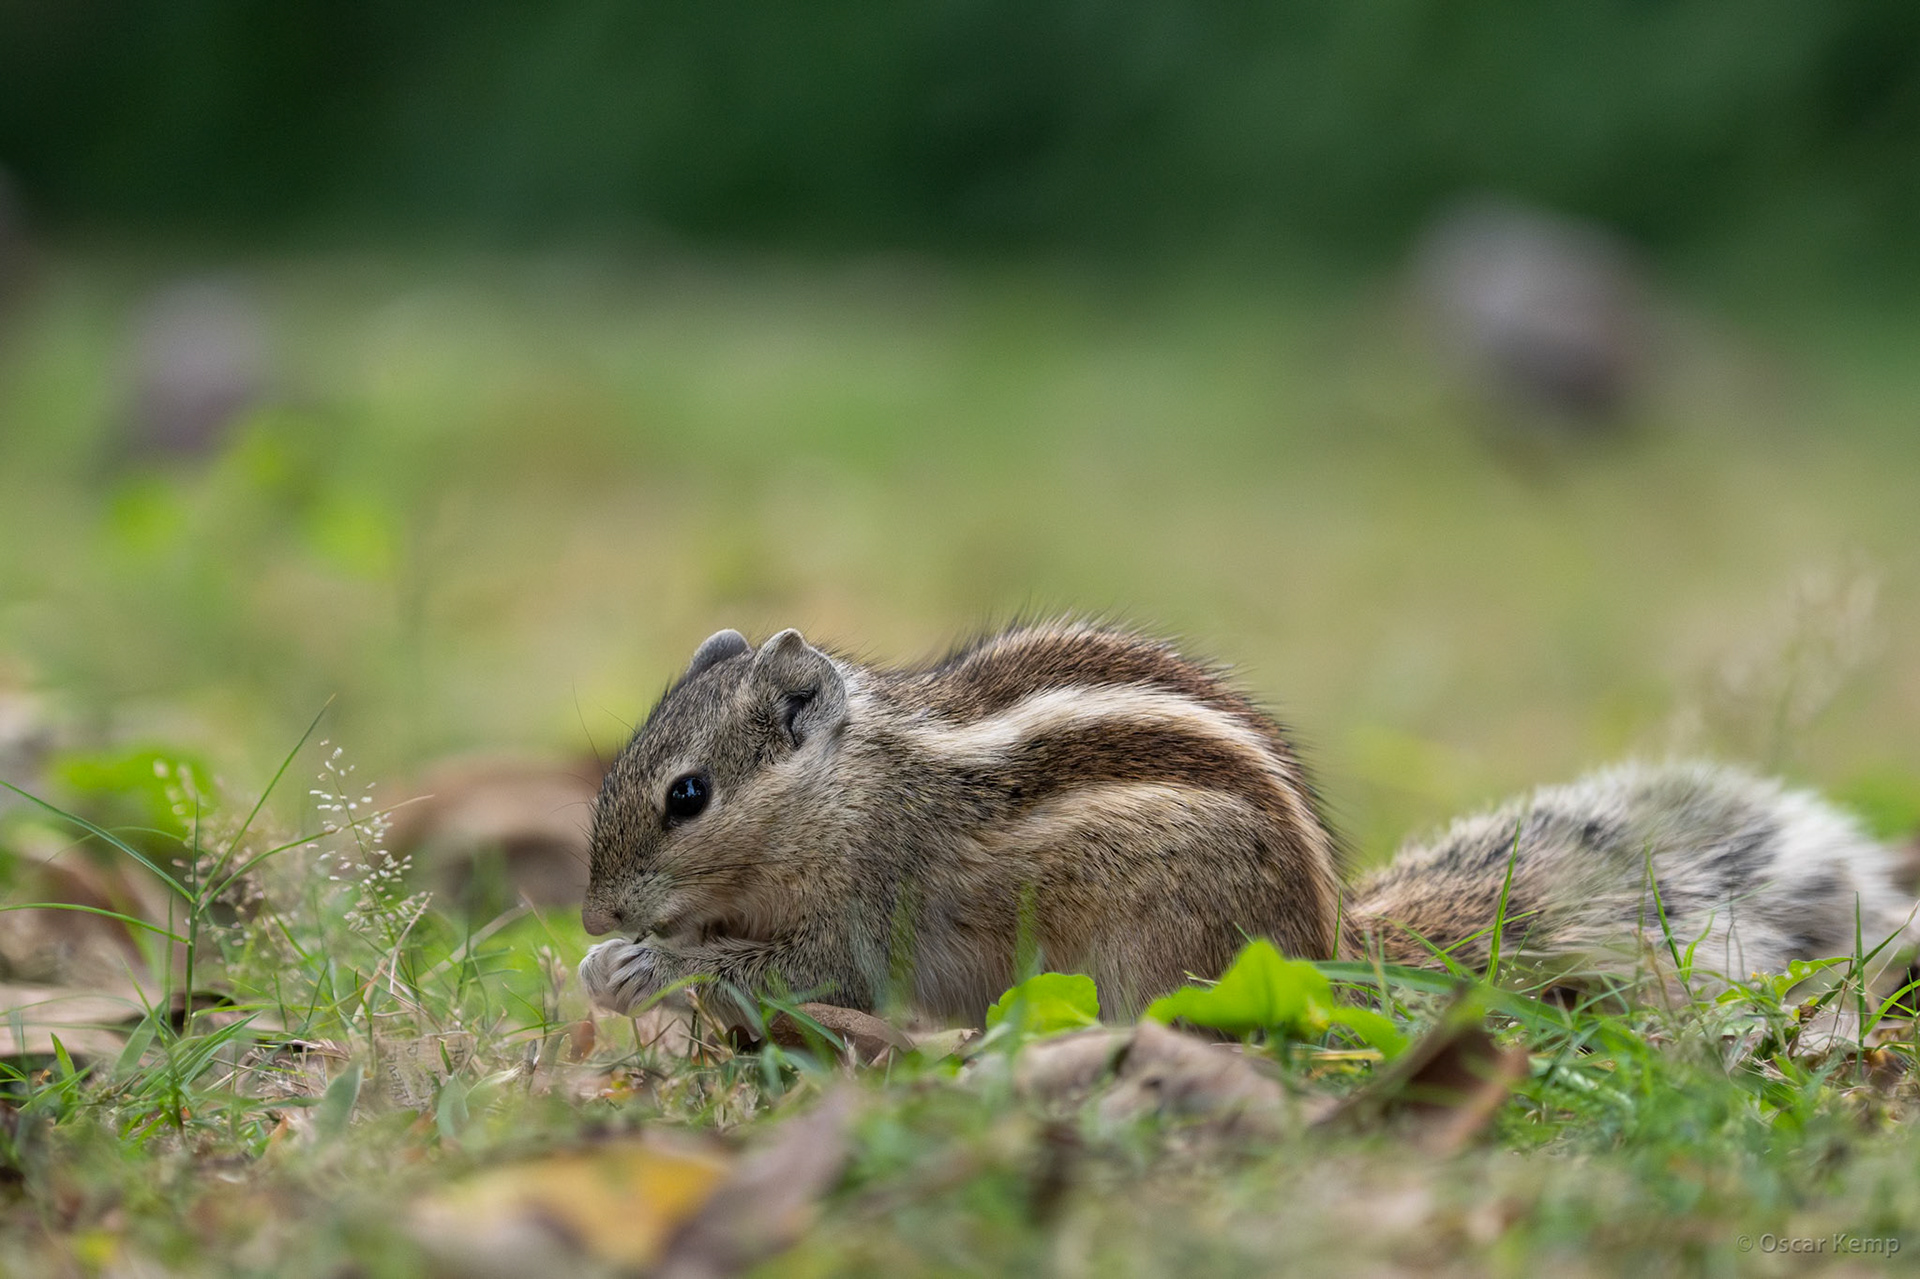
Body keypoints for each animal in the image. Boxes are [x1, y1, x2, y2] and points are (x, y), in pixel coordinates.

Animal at [579, 622, 1918, 1023]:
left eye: (688, 795)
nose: (590, 913)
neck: (844, 788)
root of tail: (1333, 947)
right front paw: (604, 966)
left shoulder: (874, 907)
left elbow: (798, 967)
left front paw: (650, 965)